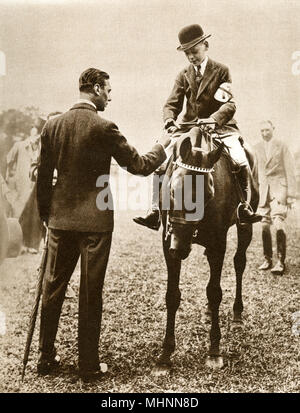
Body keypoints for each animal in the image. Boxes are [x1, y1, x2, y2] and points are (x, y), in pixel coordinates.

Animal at [154, 125, 258, 374]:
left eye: (209, 192)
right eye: (172, 190)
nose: (180, 249)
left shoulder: (218, 245)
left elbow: (215, 291)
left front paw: (214, 351)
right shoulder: (167, 244)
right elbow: (172, 295)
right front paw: (165, 355)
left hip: (245, 226)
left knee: (239, 263)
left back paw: (237, 314)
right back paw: (209, 312)